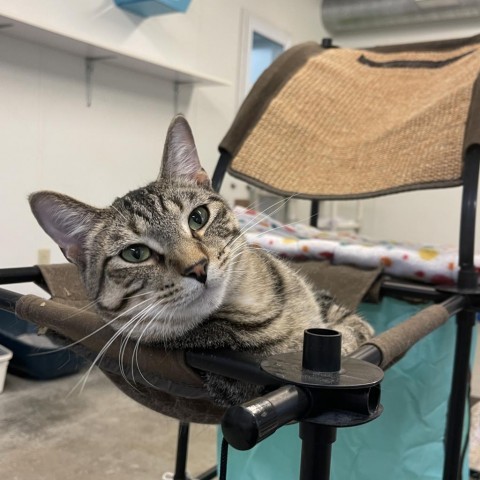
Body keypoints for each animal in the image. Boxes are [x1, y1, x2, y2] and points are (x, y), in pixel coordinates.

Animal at [30, 114, 374, 406]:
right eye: (135, 254)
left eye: (198, 217)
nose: (197, 267)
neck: (254, 303)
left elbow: (349, 322)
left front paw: (352, 333)